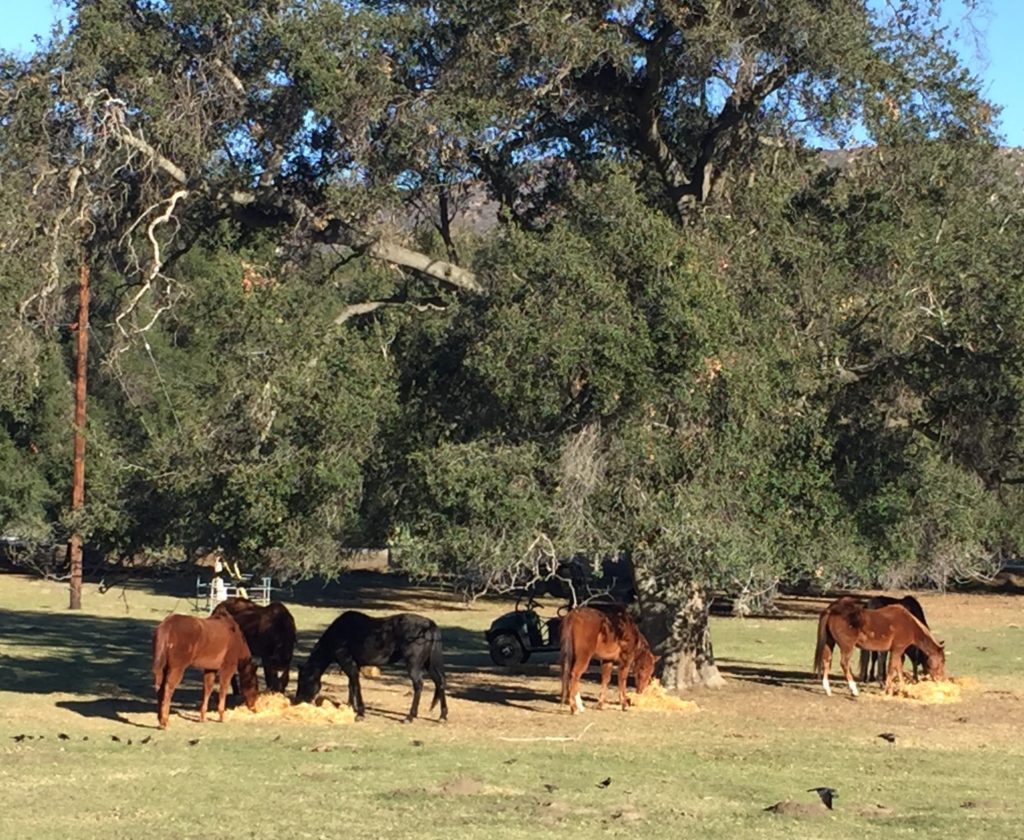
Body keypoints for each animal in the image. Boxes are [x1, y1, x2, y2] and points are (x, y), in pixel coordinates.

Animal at [290, 610, 446, 721]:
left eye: (303, 681)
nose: (298, 701)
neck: (338, 634)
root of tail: (430, 625)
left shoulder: (348, 663)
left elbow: (356, 685)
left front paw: (360, 712)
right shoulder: (354, 664)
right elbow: (351, 685)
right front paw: (350, 707)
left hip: (414, 664)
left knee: (419, 685)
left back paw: (410, 716)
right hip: (428, 664)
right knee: (440, 682)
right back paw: (442, 716)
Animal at [811, 594, 946, 700]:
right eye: (942, 661)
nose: (942, 679)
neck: (910, 624)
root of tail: (831, 610)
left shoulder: (897, 651)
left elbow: (898, 668)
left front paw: (902, 689)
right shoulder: (897, 649)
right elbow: (891, 668)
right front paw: (887, 690)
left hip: (830, 643)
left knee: (826, 661)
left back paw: (827, 689)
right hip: (847, 647)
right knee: (844, 664)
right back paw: (854, 690)